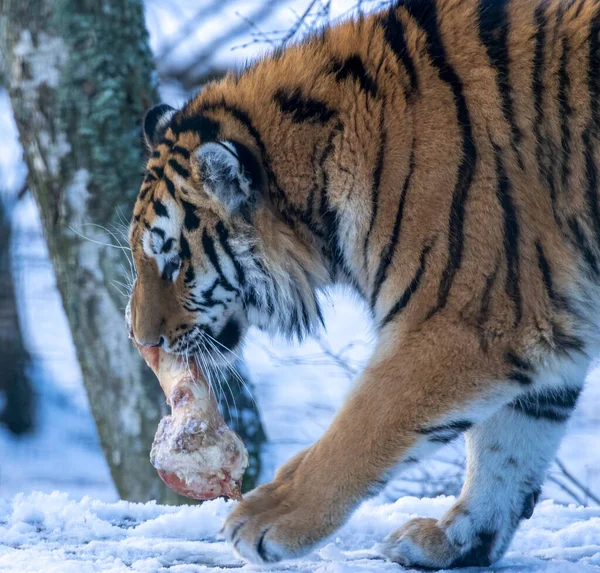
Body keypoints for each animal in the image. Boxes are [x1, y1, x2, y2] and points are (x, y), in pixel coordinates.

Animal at [127, 0, 600, 564]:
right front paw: (454, 542)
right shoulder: (538, 323)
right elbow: (508, 449)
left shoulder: (468, 318)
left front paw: (271, 518)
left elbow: (365, 423)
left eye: (172, 261)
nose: (141, 341)